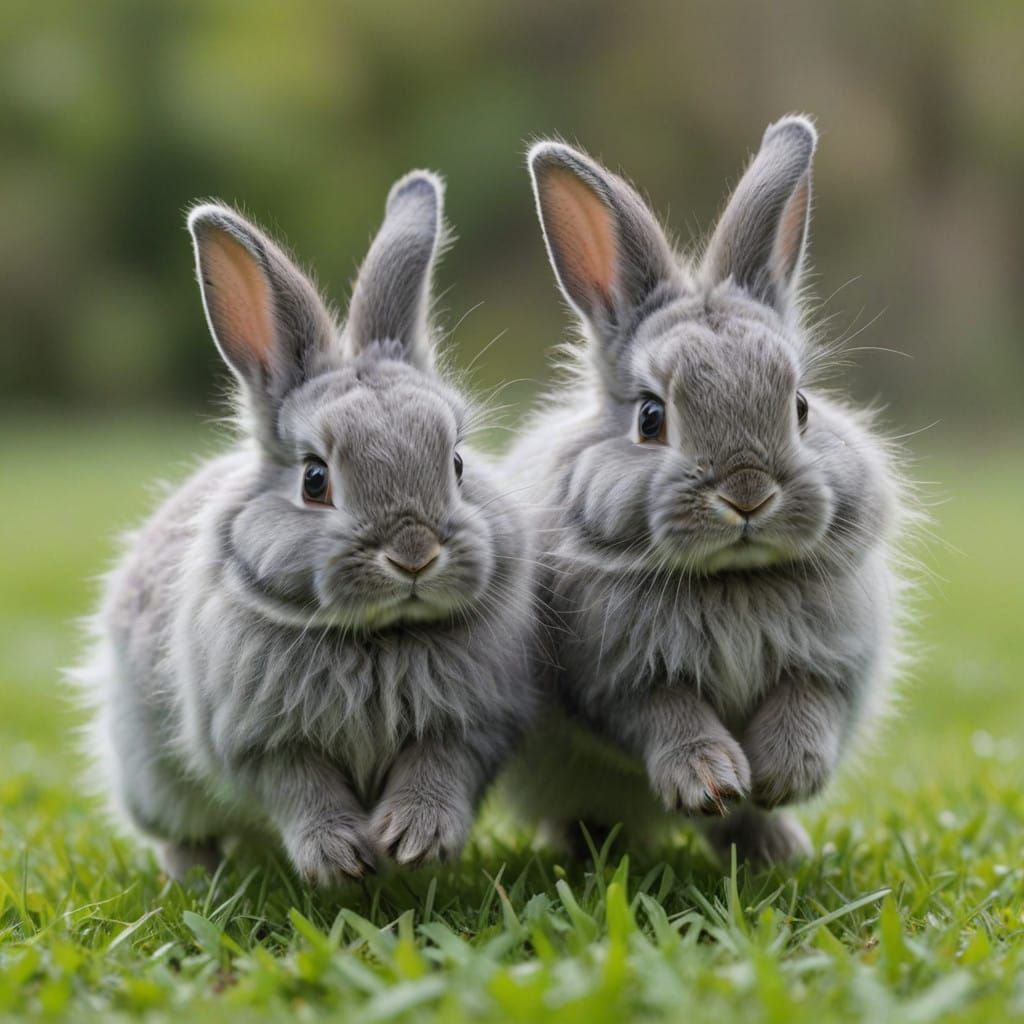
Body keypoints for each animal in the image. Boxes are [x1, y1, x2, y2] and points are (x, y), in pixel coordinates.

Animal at [72, 171, 537, 885]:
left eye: (457, 463)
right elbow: (300, 788)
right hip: (151, 777)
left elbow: (438, 769)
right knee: (182, 832)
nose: (414, 553)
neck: (380, 637)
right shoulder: (263, 742)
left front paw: (412, 841)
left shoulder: (470, 727)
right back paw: (197, 877)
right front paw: (340, 859)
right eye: (315, 480)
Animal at [501, 115, 911, 864]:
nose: (748, 494)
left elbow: (809, 704)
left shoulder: (832, 665)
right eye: (651, 418)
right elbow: (670, 719)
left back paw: (776, 845)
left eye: (800, 406)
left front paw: (781, 778)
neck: (732, 578)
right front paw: (710, 782)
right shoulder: (618, 683)